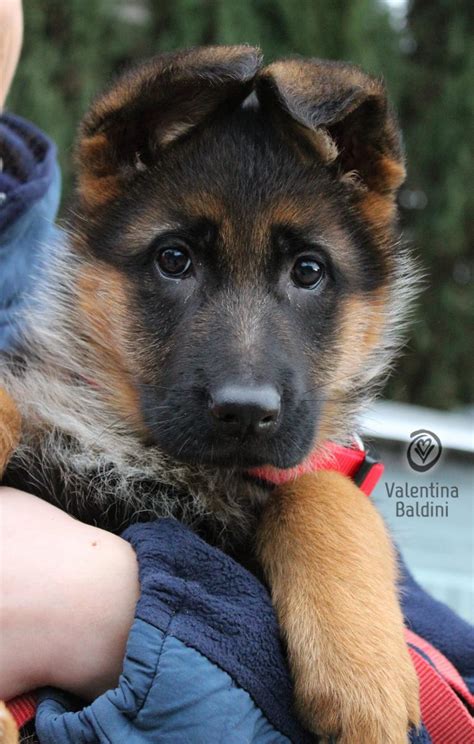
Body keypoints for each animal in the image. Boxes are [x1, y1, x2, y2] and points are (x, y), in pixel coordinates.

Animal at [1, 48, 420, 744]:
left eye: (309, 270)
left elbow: (322, 489)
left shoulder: (306, 469)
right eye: (174, 259)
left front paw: (364, 674)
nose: (245, 412)